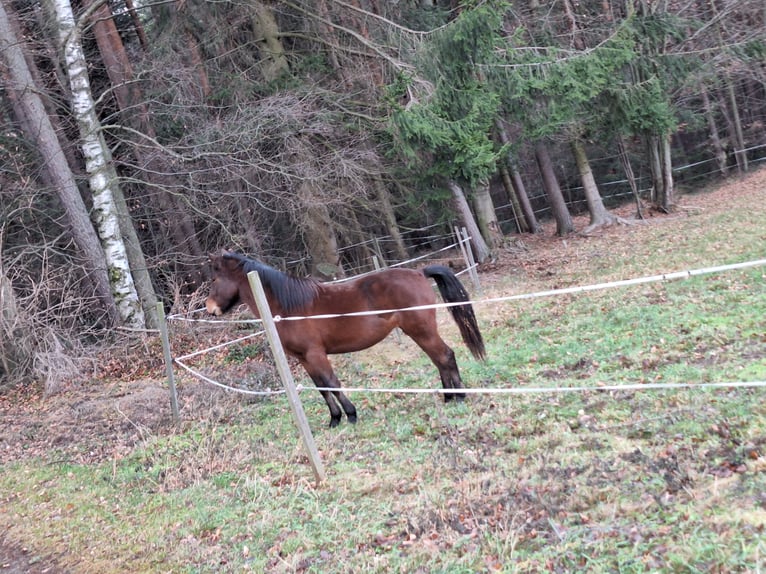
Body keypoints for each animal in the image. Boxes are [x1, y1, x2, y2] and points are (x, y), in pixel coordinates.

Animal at [206, 251, 486, 428]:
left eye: (214, 278)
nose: (210, 308)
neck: (287, 306)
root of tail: (418, 272)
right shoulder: (304, 359)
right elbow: (322, 388)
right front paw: (334, 419)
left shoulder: (316, 354)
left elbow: (332, 382)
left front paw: (350, 415)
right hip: (418, 332)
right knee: (439, 358)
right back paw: (448, 397)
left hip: (421, 330)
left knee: (445, 355)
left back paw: (459, 396)